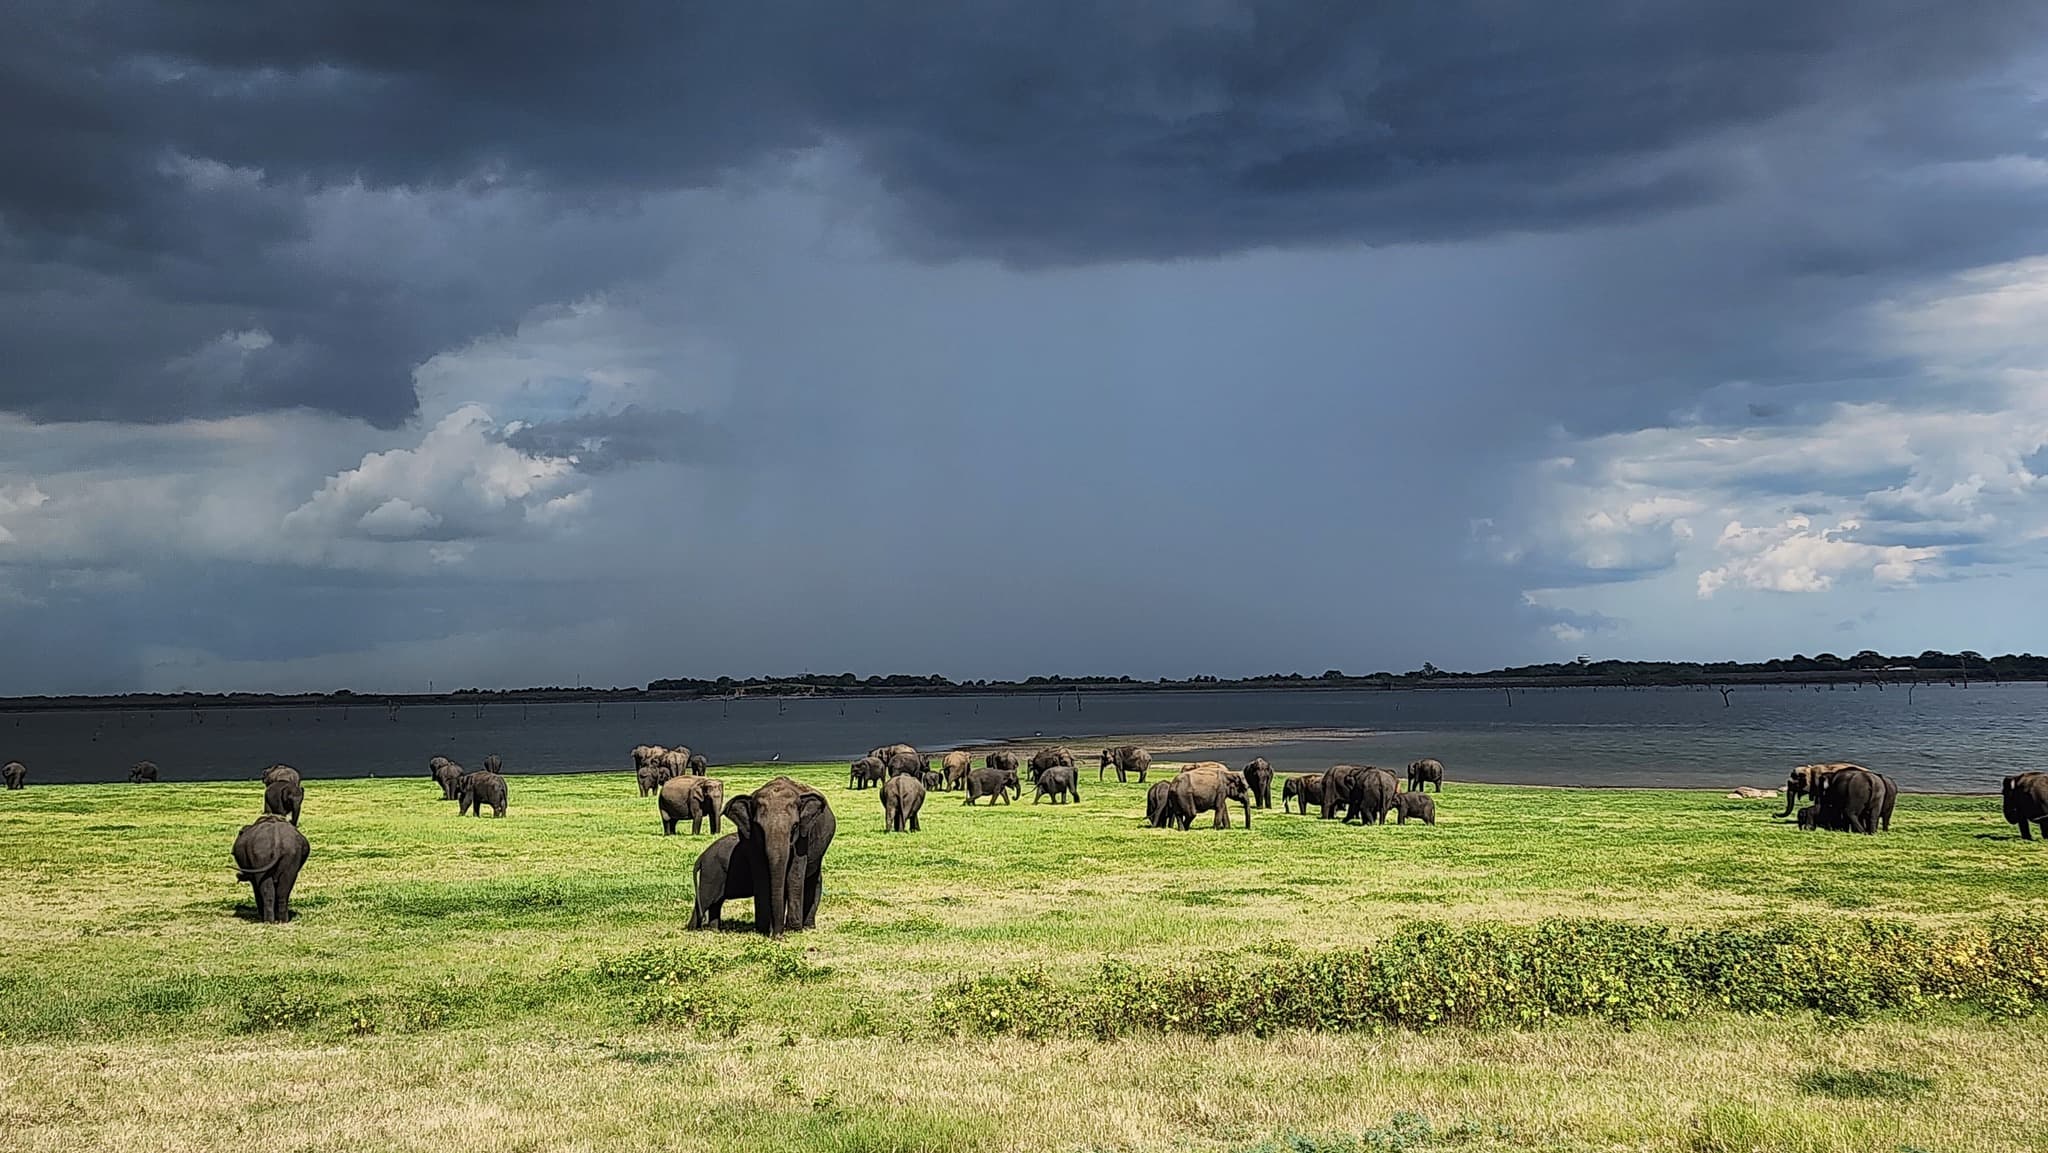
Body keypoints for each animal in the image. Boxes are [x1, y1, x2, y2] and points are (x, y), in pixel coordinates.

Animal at [723, 777, 836, 938]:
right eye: (758, 828)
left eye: (795, 826)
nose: (777, 936)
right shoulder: (748, 838)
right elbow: (761, 874)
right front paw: (763, 929)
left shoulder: (803, 837)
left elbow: (795, 873)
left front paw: (793, 930)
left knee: (813, 878)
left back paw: (808, 926)